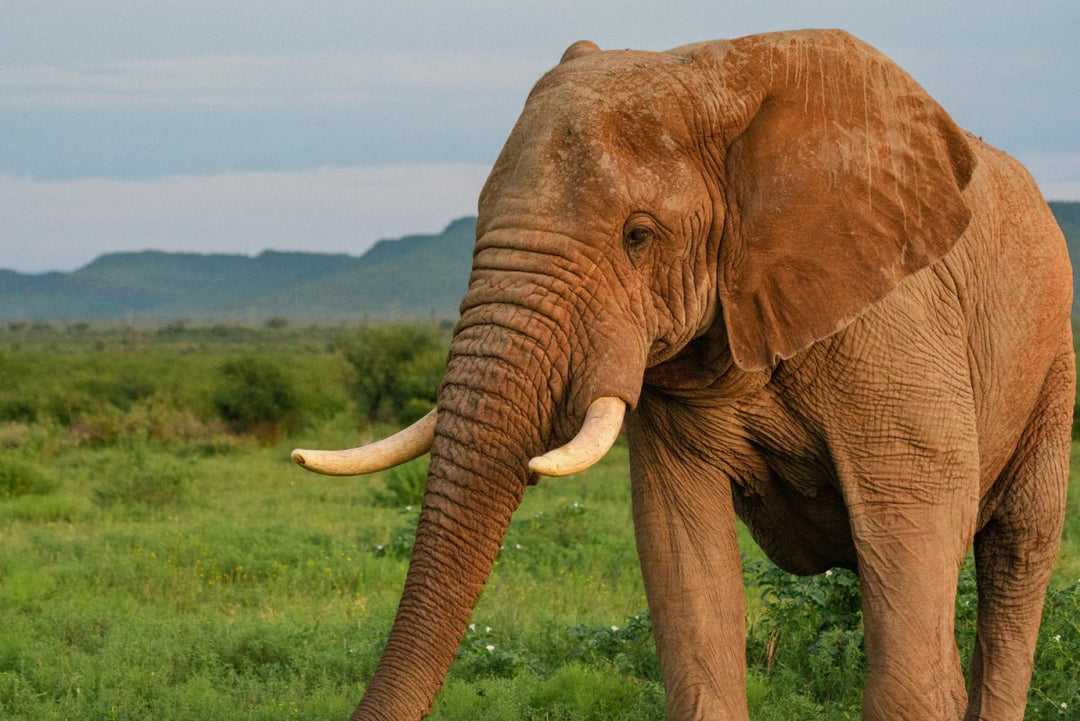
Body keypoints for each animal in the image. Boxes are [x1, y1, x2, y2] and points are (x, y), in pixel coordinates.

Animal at [291, 29, 1075, 721]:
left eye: (638, 236)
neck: (717, 78)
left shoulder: (901, 329)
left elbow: (910, 530)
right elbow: (683, 556)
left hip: (1054, 360)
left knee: (1015, 553)